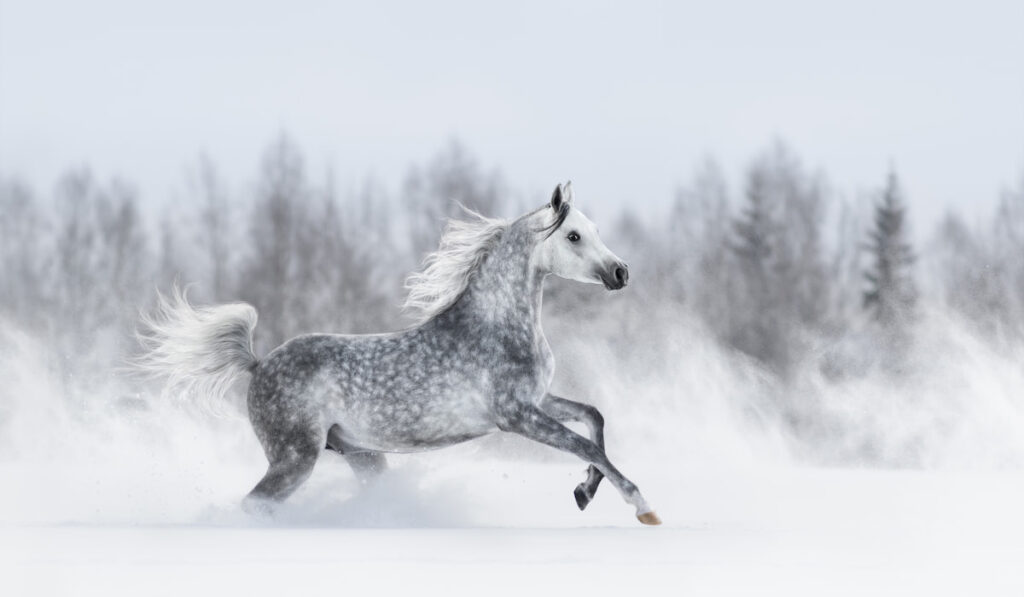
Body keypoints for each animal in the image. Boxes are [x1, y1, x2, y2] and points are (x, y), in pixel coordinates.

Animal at [138, 182, 655, 524]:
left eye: (593, 230)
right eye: (573, 237)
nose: (621, 272)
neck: (497, 325)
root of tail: (258, 362)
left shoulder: (539, 401)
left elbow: (594, 418)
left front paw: (584, 492)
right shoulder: (517, 415)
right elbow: (586, 443)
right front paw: (642, 506)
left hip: (362, 455)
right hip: (294, 458)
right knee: (254, 505)